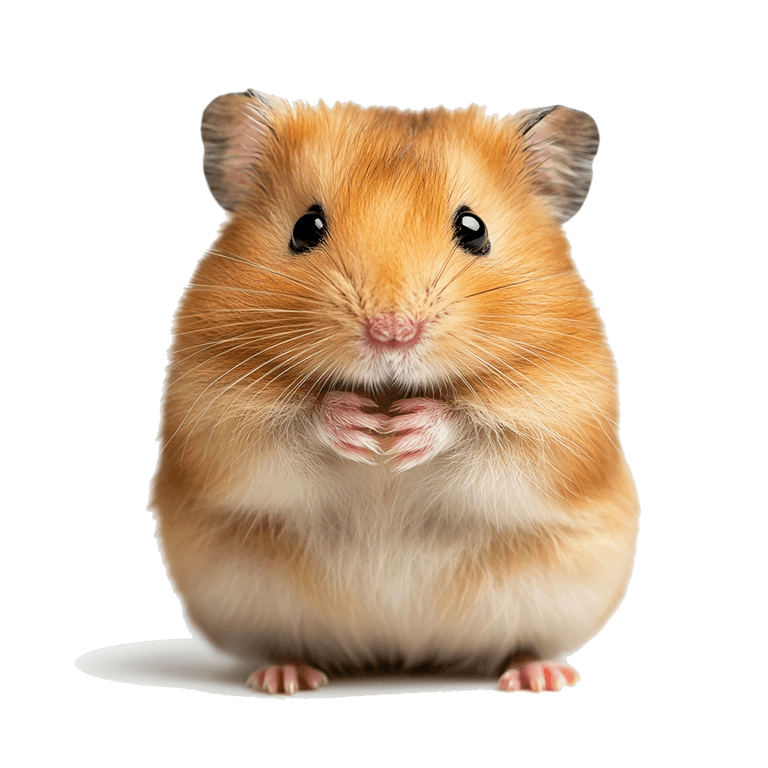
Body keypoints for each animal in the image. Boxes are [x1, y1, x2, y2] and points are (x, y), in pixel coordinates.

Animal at [149, 90, 640, 695]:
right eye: (306, 227)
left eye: (474, 228)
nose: (391, 333)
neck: (385, 389)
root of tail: (400, 656)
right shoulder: (214, 411)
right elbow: (287, 425)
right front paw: (361, 426)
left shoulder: (559, 413)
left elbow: (481, 432)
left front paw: (405, 431)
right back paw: (286, 676)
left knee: (525, 643)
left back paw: (540, 676)